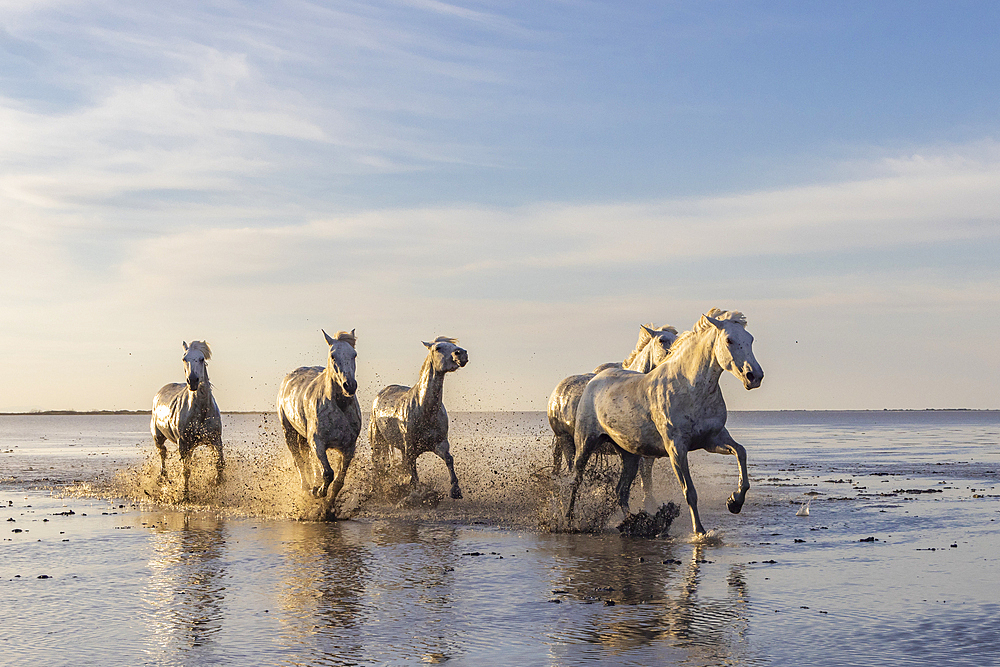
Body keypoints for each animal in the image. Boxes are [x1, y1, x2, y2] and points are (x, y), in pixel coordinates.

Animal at [150, 342, 225, 498]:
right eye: (184, 358)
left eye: (202, 359)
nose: (193, 381)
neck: (201, 411)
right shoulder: (183, 444)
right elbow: (186, 471)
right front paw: (185, 495)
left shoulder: (215, 439)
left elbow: (220, 464)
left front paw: (216, 482)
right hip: (158, 437)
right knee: (162, 454)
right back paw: (163, 478)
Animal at [278, 328, 360, 506]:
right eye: (333, 355)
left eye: (354, 354)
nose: (349, 385)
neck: (339, 406)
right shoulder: (318, 443)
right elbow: (328, 473)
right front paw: (317, 491)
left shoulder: (349, 448)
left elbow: (338, 481)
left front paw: (328, 507)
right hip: (289, 432)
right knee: (299, 461)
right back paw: (306, 487)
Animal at [372, 340, 468, 500]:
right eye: (438, 347)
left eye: (453, 345)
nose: (461, 354)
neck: (424, 411)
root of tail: (381, 394)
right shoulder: (410, 447)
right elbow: (413, 471)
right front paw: (415, 493)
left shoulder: (439, 443)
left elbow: (449, 459)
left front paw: (456, 490)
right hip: (377, 439)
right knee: (376, 462)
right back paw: (373, 489)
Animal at [568, 310, 760, 536]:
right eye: (729, 340)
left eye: (750, 339)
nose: (754, 376)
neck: (688, 387)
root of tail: (595, 380)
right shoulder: (676, 449)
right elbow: (689, 491)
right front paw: (699, 531)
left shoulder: (712, 439)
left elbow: (741, 452)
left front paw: (734, 502)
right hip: (586, 444)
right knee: (575, 481)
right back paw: (568, 520)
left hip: (629, 455)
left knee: (621, 490)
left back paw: (634, 523)